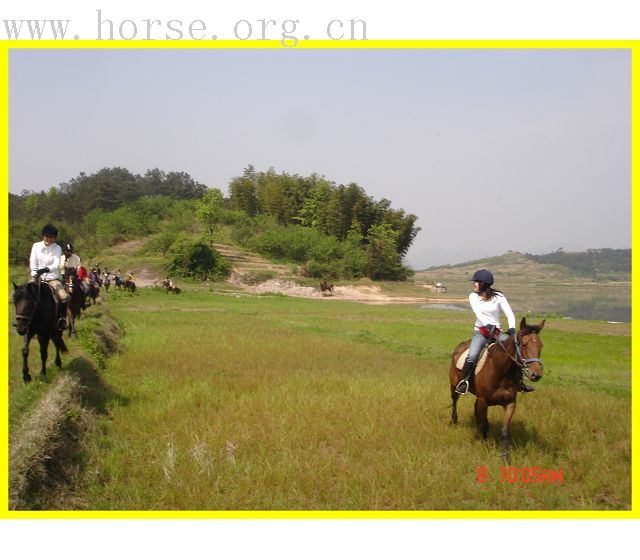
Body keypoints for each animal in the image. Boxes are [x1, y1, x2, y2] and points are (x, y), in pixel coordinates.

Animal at [450, 318, 544, 462]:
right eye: (524, 345)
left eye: (541, 345)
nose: (536, 374)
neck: (501, 370)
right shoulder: (483, 401)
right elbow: (485, 425)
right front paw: (485, 448)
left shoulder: (510, 403)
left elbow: (505, 430)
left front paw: (505, 457)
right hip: (454, 386)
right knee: (455, 402)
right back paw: (454, 422)